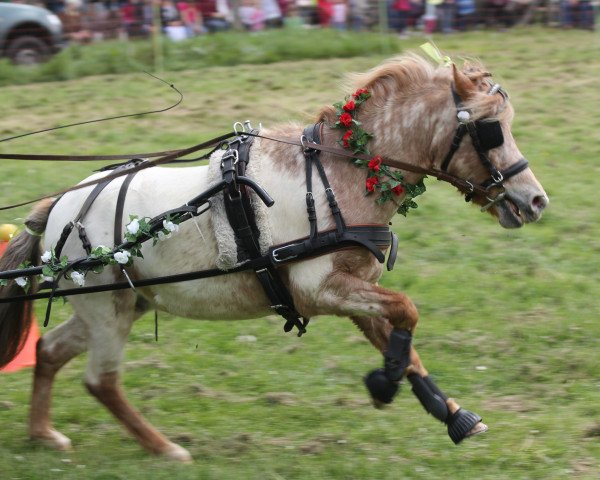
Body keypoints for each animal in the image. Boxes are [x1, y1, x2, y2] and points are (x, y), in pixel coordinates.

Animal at [0, 54, 548, 464]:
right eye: (492, 130)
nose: (536, 200)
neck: (345, 173)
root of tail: (58, 207)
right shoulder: (321, 289)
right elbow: (407, 312)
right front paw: (385, 385)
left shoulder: (352, 289)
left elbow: (402, 336)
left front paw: (449, 412)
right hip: (108, 310)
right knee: (102, 381)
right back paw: (164, 447)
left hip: (116, 306)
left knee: (49, 351)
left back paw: (43, 433)